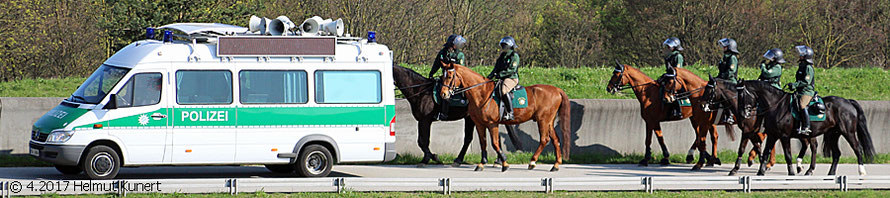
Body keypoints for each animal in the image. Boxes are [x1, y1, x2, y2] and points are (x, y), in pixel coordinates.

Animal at [392, 64, 524, 166]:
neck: (421, 91)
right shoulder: (422, 121)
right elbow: (422, 141)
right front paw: (429, 158)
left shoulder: (425, 120)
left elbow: (422, 142)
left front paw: (431, 158)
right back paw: (496, 160)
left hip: (473, 119)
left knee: (471, 139)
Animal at [438, 62, 568, 172]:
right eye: (442, 76)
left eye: (449, 76)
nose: (443, 94)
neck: (481, 93)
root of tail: (556, 90)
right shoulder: (480, 124)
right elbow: (483, 142)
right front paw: (481, 164)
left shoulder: (492, 124)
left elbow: (495, 143)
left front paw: (504, 163)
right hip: (549, 121)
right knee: (555, 140)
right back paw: (556, 165)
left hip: (543, 120)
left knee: (544, 139)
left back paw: (532, 162)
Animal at [604, 63, 736, 170]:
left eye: (616, 74)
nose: (609, 88)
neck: (648, 93)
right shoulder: (650, 122)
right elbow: (651, 139)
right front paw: (650, 158)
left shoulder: (653, 121)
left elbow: (658, 139)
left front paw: (660, 158)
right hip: (695, 119)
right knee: (705, 136)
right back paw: (708, 158)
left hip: (699, 120)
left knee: (709, 137)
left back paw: (704, 157)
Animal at [732, 79, 872, 176]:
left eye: (742, 95)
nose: (742, 113)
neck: (776, 105)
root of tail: (848, 101)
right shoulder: (772, 135)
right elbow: (766, 153)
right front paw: (760, 172)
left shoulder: (784, 136)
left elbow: (788, 155)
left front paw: (791, 172)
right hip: (833, 134)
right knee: (836, 153)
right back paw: (830, 173)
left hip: (848, 132)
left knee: (857, 148)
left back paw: (861, 171)